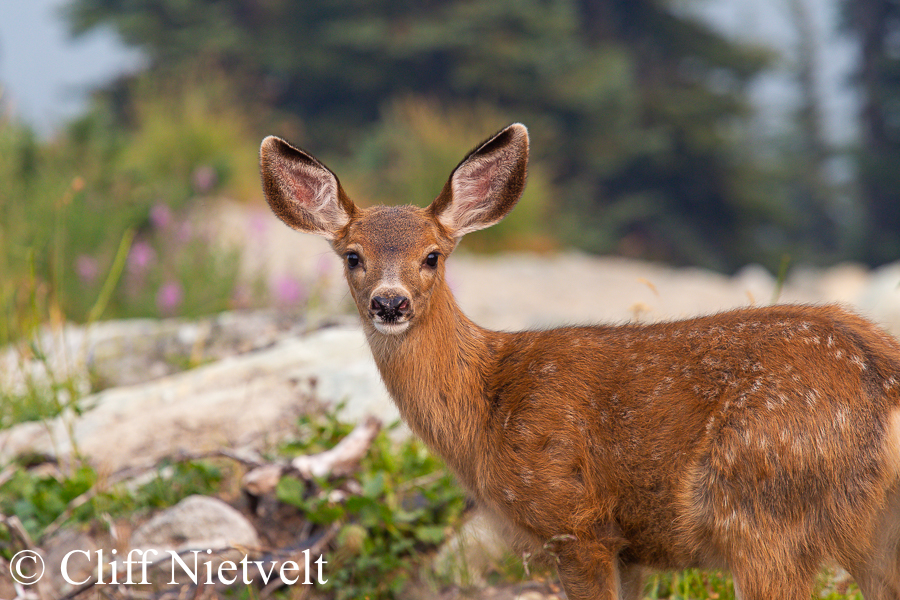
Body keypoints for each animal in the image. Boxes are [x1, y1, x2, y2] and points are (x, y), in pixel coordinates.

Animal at [259, 123, 900, 599]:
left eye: (433, 256)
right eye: (352, 256)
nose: (390, 303)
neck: (486, 407)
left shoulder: (573, 520)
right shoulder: (633, 548)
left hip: (764, 508)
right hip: (864, 533)